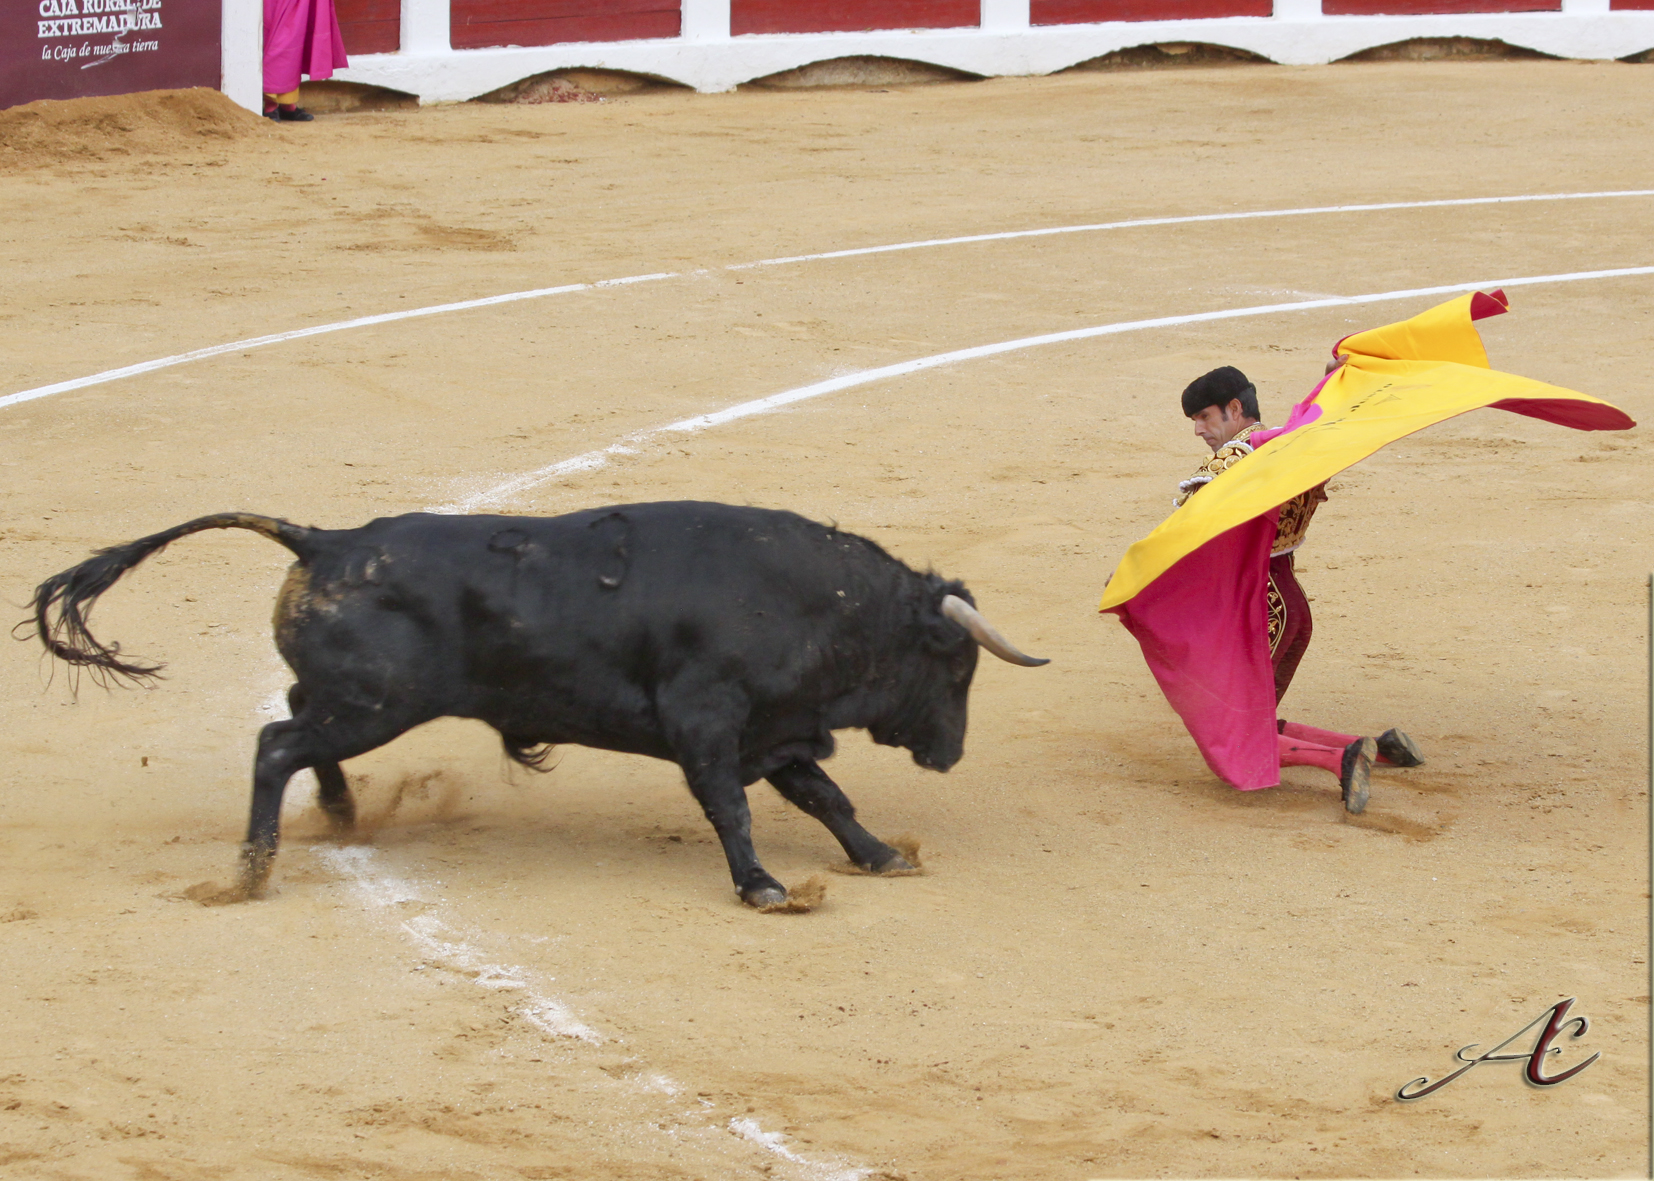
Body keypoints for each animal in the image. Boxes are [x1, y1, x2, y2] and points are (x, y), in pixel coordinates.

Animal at [29, 502, 1045, 906]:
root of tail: (325, 538)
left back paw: (343, 813)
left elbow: (826, 797)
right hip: (378, 703)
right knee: (276, 740)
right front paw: (762, 886)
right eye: (958, 668)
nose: (951, 752)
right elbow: (732, 807)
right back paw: (251, 872)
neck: (808, 603)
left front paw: (880, 856)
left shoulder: (775, 730)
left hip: (355, 698)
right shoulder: (709, 725)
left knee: (292, 718)